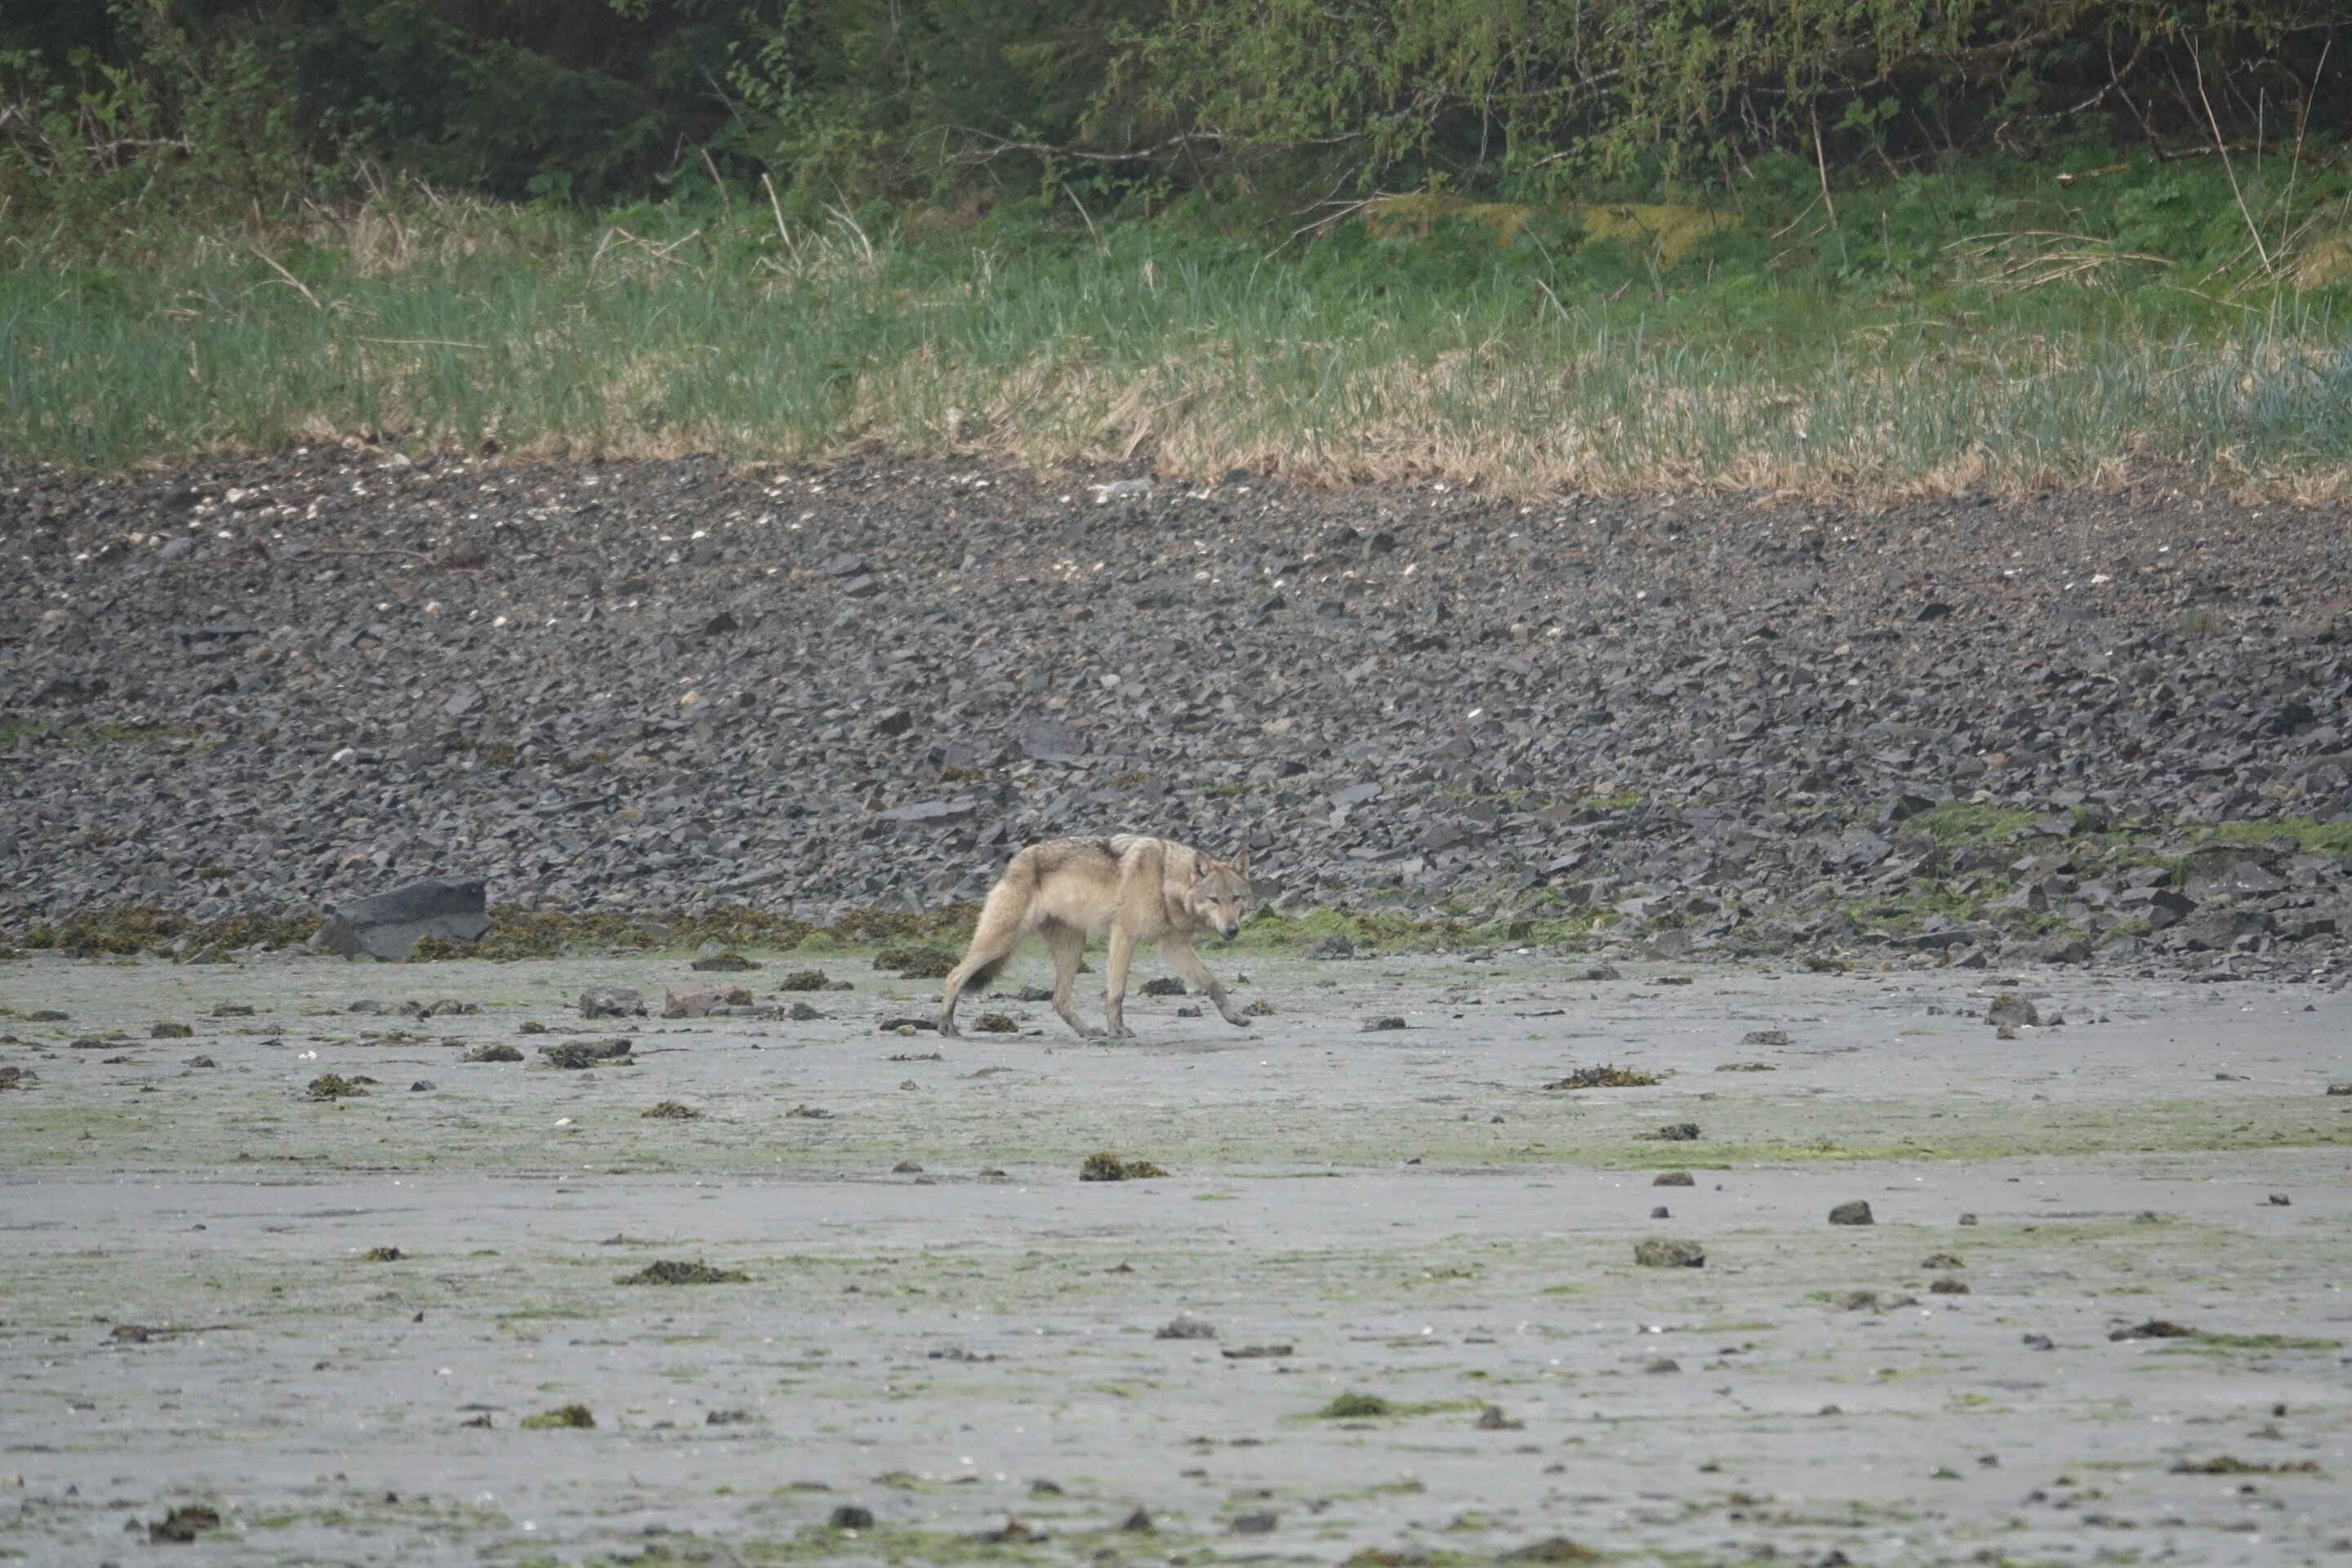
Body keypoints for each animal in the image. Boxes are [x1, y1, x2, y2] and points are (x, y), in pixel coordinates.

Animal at [936, 832, 1260, 1044]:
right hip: (1002, 940)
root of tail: (1013, 863)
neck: (1164, 879)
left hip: (1072, 948)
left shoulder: (1174, 947)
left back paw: (1088, 1032)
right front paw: (1119, 1031)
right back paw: (946, 1025)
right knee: (954, 975)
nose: (1232, 930)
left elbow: (1212, 982)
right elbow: (1117, 992)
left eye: (1236, 898)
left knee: (1059, 1000)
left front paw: (1235, 1017)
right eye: (1214, 900)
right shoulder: (1124, 936)